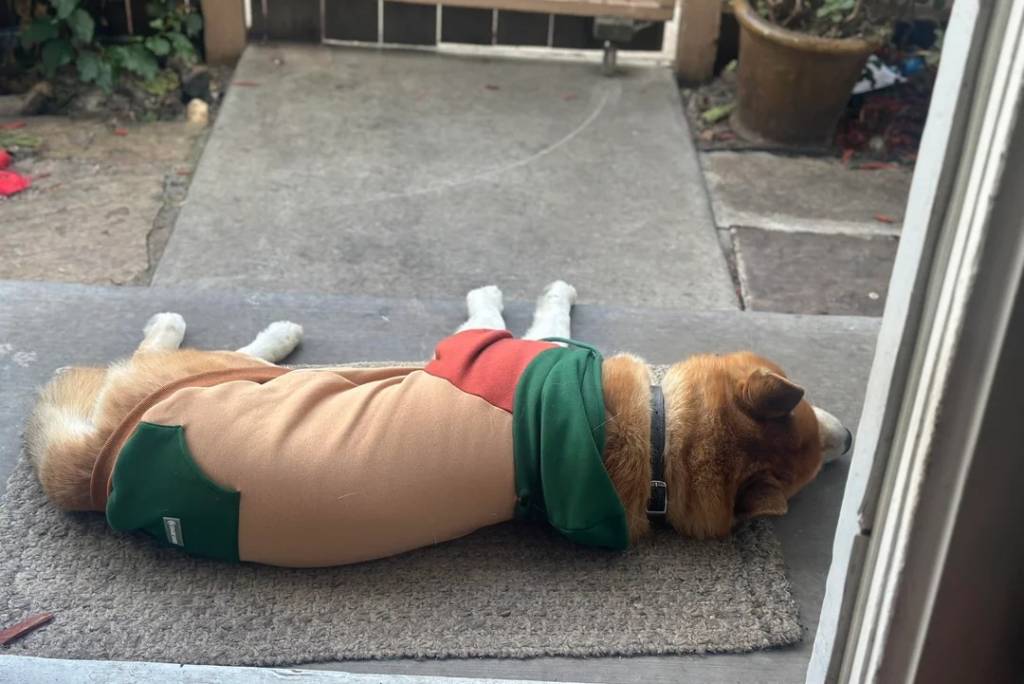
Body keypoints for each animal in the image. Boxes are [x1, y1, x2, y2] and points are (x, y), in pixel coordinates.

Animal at [25, 281, 851, 567]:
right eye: (815, 420)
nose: (852, 443)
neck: (652, 442)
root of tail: (96, 470)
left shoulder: (499, 348)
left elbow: (521, 314)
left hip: (206, 374)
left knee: (170, 350)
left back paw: (250, 334)